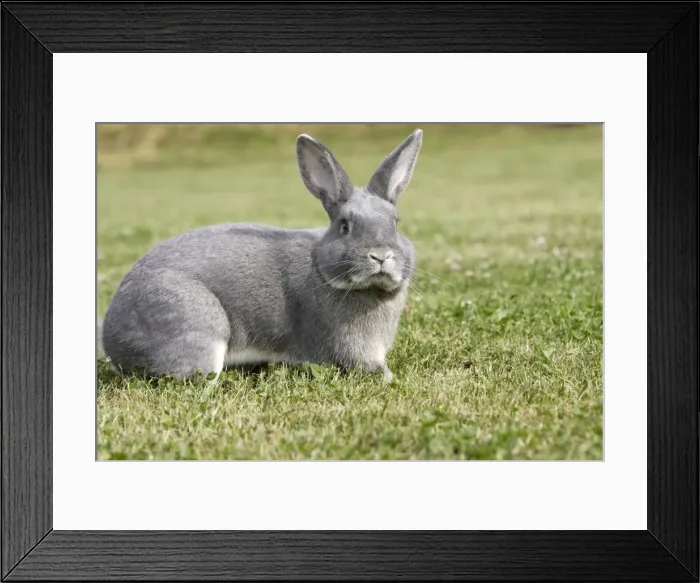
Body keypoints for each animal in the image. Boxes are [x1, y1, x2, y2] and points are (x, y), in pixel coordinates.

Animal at [99, 128, 424, 384]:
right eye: (345, 226)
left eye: (395, 223)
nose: (380, 256)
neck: (320, 269)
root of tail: (111, 338)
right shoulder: (351, 347)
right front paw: (393, 379)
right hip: (198, 326)